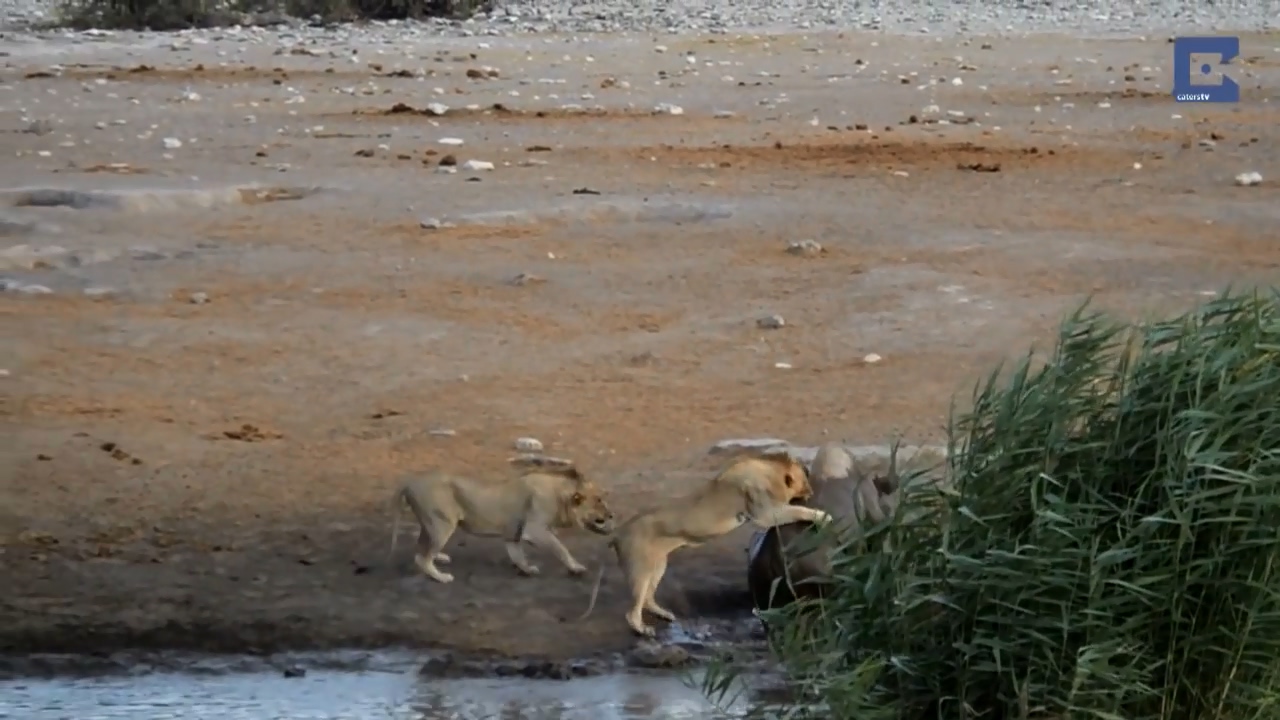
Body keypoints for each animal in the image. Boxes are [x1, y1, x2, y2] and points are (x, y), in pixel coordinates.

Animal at [388, 465, 615, 583]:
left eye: (603, 498)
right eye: (598, 501)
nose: (612, 514)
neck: (561, 497)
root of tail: (410, 483)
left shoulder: (513, 534)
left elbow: (517, 554)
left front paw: (526, 569)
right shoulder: (534, 530)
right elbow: (561, 548)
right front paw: (576, 568)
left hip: (431, 524)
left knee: (421, 547)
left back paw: (440, 557)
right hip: (442, 524)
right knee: (421, 557)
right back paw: (441, 576)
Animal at [578, 451, 832, 637]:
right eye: (805, 478)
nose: (811, 490)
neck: (770, 471)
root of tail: (618, 533)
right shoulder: (765, 513)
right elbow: (797, 510)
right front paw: (822, 515)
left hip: (657, 564)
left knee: (648, 598)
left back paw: (665, 614)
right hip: (640, 568)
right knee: (632, 612)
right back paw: (643, 630)